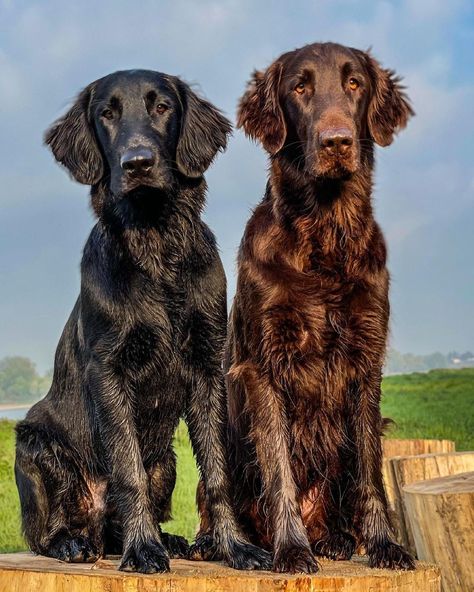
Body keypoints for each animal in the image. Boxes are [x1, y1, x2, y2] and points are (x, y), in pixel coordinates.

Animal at [13, 69, 270, 572]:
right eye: (106, 114)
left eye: (162, 107)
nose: (137, 163)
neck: (155, 245)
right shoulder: (108, 369)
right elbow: (127, 469)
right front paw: (144, 549)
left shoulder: (208, 364)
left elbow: (217, 474)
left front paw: (235, 547)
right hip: (31, 445)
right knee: (47, 531)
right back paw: (74, 543)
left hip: (166, 461)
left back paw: (169, 540)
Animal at [191, 41, 412, 572]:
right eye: (299, 87)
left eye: (354, 83)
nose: (337, 142)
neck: (324, 237)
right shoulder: (262, 365)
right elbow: (279, 470)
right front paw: (290, 548)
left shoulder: (366, 358)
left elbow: (369, 469)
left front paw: (384, 544)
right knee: (216, 495)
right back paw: (217, 542)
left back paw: (335, 537)